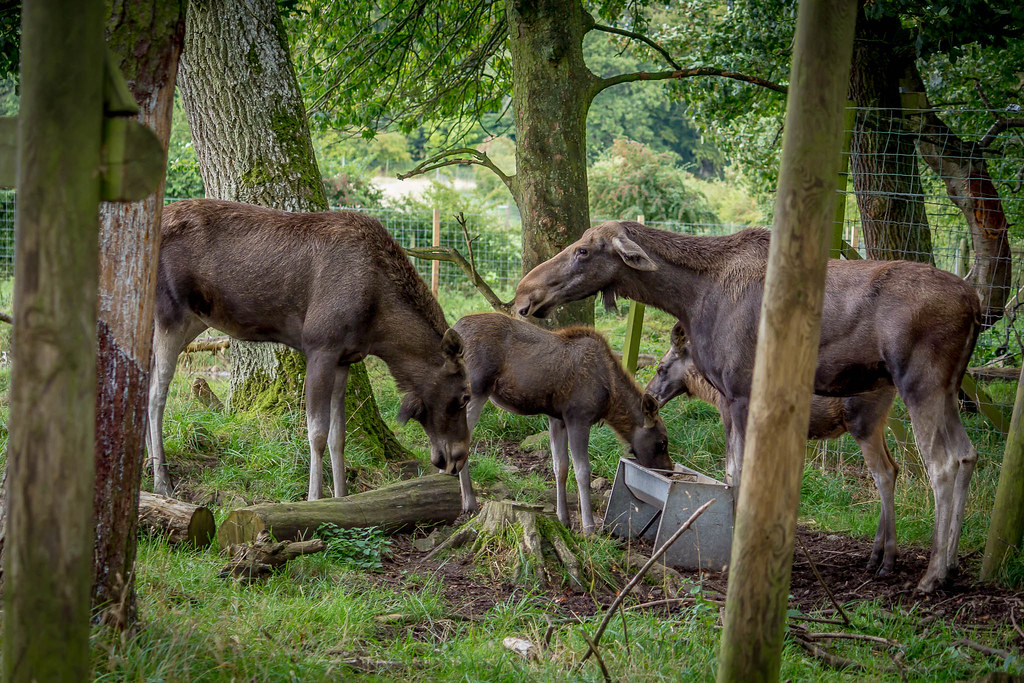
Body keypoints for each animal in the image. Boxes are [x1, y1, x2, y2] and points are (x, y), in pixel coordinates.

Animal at [148, 199, 472, 503]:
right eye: (465, 396)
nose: (458, 458)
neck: (379, 327)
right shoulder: (320, 347)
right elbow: (316, 432)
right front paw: (314, 498)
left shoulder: (345, 359)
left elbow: (338, 436)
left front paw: (341, 497)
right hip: (170, 313)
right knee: (156, 393)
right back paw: (162, 481)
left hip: (185, 320)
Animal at [451, 312, 672, 532]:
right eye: (662, 441)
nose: (669, 470)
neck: (611, 399)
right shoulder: (578, 417)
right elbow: (582, 471)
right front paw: (588, 526)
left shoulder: (557, 418)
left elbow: (561, 466)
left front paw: (563, 518)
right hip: (476, 390)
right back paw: (469, 502)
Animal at [647, 321, 900, 575]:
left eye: (661, 368)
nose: (649, 396)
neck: (709, 389)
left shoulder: (731, 417)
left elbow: (733, 474)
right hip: (877, 425)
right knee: (894, 467)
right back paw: (877, 556)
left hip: (862, 424)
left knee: (883, 473)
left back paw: (886, 559)